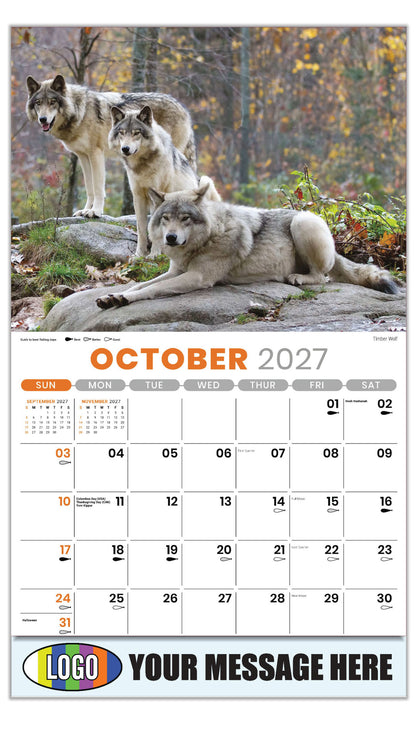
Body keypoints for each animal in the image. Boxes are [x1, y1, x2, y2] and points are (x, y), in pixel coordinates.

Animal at [25, 74, 196, 219]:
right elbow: (89, 187)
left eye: (52, 102)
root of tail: (183, 108)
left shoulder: (96, 154)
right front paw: (85, 210)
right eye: (38, 103)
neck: (80, 112)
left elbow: (98, 187)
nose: (43, 119)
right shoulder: (83, 156)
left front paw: (95, 211)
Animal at [96, 182, 399, 310]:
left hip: (302, 221)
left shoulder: (197, 277)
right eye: (166, 218)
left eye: (185, 218)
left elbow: (151, 290)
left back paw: (298, 278)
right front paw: (115, 296)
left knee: (322, 277)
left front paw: (125, 299)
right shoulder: (176, 271)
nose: (170, 237)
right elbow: (139, 285)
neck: (208, 237)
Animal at [108, 104, 220, 256]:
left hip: (205, 180)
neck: (143, 166)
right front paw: (139, 255)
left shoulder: (159, 195)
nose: (125, 149)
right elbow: (142, 229)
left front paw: (154, 254)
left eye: (136, 133)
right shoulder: (138, 196)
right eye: (122, 132)